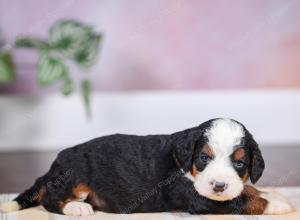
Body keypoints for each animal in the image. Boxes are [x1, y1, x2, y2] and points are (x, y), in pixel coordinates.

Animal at [0, 117, 294, 216]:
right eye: (203, 158)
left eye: (240, 162)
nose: (219, 185)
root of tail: (51, 168)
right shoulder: (198, 198)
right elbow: (242, 200)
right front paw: (278, 204)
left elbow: (247, 190)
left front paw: (275, 195)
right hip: (75, 174)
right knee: (50, 199)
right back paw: (76, 208)